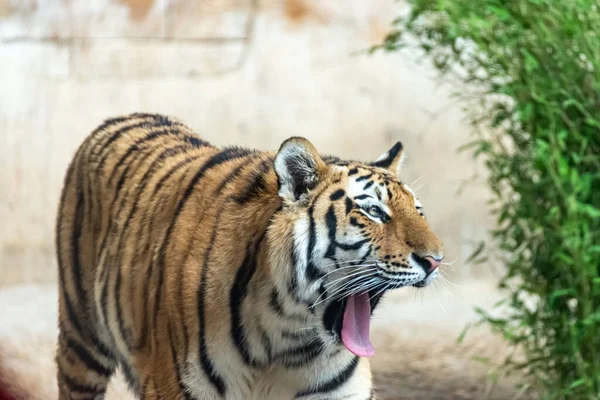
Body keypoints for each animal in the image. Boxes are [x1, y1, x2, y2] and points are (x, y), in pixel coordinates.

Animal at [54, 112, 442, 400]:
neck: (288, 336)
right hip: (81, 342)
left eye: (419, 211)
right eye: (374, 211)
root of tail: (121, 117)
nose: (436, 259)